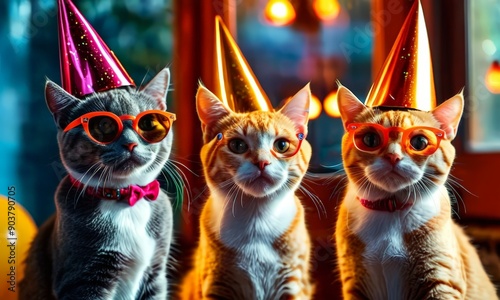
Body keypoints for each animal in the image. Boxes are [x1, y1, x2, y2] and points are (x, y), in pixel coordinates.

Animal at [19, 68, 175, 300]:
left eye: (148, 123)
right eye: (104, 125)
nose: (130, 143)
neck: (124, 199)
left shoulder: (156, 273)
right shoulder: (83, 279)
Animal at [180, 85, 312, 300]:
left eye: (281, 145)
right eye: (237, 145)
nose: (262, 162)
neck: (256, 220)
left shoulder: (293, 283)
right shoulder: (217, 284)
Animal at [332, 85, 496, 298]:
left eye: (419, 142)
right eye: (370, 139)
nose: (393, 156)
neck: (391, 208)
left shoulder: (441, 280)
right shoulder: (355, 284)